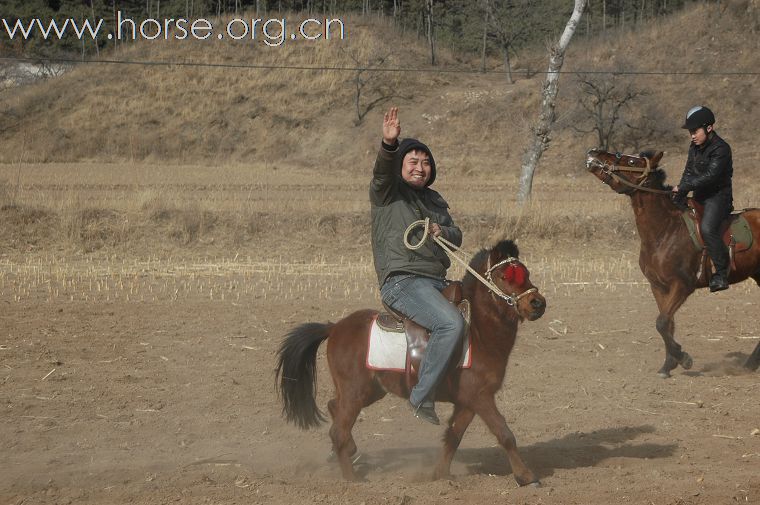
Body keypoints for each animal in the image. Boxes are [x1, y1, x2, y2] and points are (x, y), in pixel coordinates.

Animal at [274, 240, 548, 484]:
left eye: (526, 273)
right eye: (504, 276)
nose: (537, 303)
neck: (479, 331)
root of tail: (334, 327)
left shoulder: (468, 402)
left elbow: (453, 436)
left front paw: (440, 475)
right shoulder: (480, 396)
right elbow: (504, 433)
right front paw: (526, 477)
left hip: (370, 390)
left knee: (334, 408)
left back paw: (350, 451)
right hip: (355, 391)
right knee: (339, 429)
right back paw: (352, 479)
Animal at [588, 148, 760, 376]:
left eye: (632, 161)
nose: (593, 152)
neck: (665, 230)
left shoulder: (683, 285)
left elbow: (661, 322)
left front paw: (683, 357)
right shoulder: (659, 287)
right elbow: (667, 323)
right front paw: (668, 364)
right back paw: (750, 364)